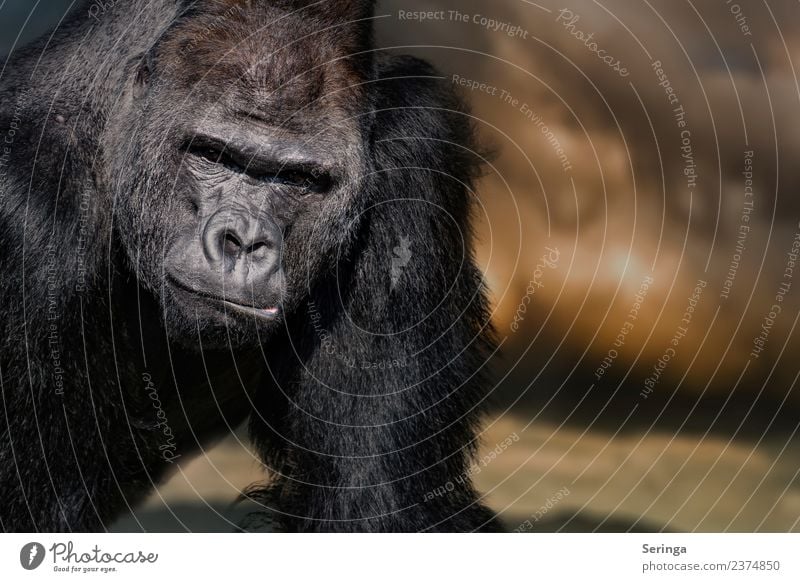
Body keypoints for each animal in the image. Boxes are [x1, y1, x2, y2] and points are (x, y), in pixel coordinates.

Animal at [0, 0, 500, 532]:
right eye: (212, 154)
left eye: (299, 178)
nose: (244, 241)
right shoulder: (26, 215)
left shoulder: (415, 151)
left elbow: (378, 507)